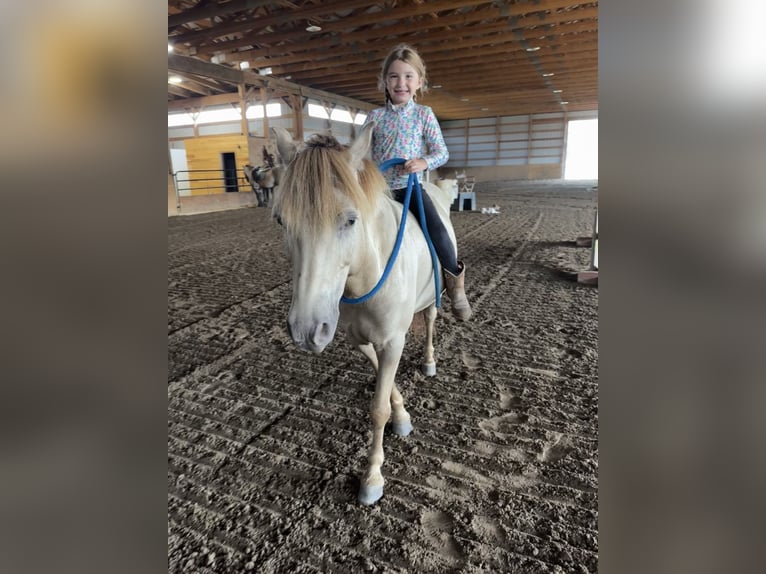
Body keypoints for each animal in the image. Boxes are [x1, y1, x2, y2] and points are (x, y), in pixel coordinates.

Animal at [271, 124, 457, 505]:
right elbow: (386, 391)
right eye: (281, 219)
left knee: (432, 320)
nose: (305, 331)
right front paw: (402, 416)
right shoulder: (360, 340)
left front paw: (371, 478)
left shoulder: (393, 340)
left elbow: (378, 409)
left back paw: (431, 359)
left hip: (435, 295)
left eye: (350, 220)